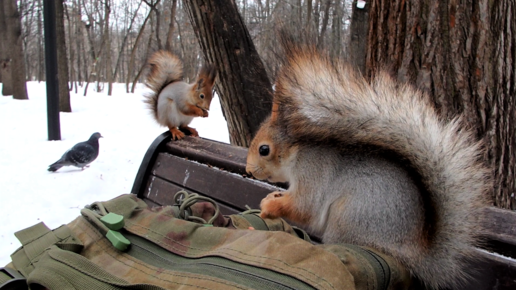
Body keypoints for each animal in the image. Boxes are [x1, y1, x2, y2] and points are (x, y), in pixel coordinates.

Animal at [246, 39, 488, 288]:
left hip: (348, 217)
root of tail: (412, 253)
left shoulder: (313, 171)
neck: (297, 153)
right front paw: (272, 196)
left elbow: (305, 206)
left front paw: (270, 207)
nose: (248, 170)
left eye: (264, 150)